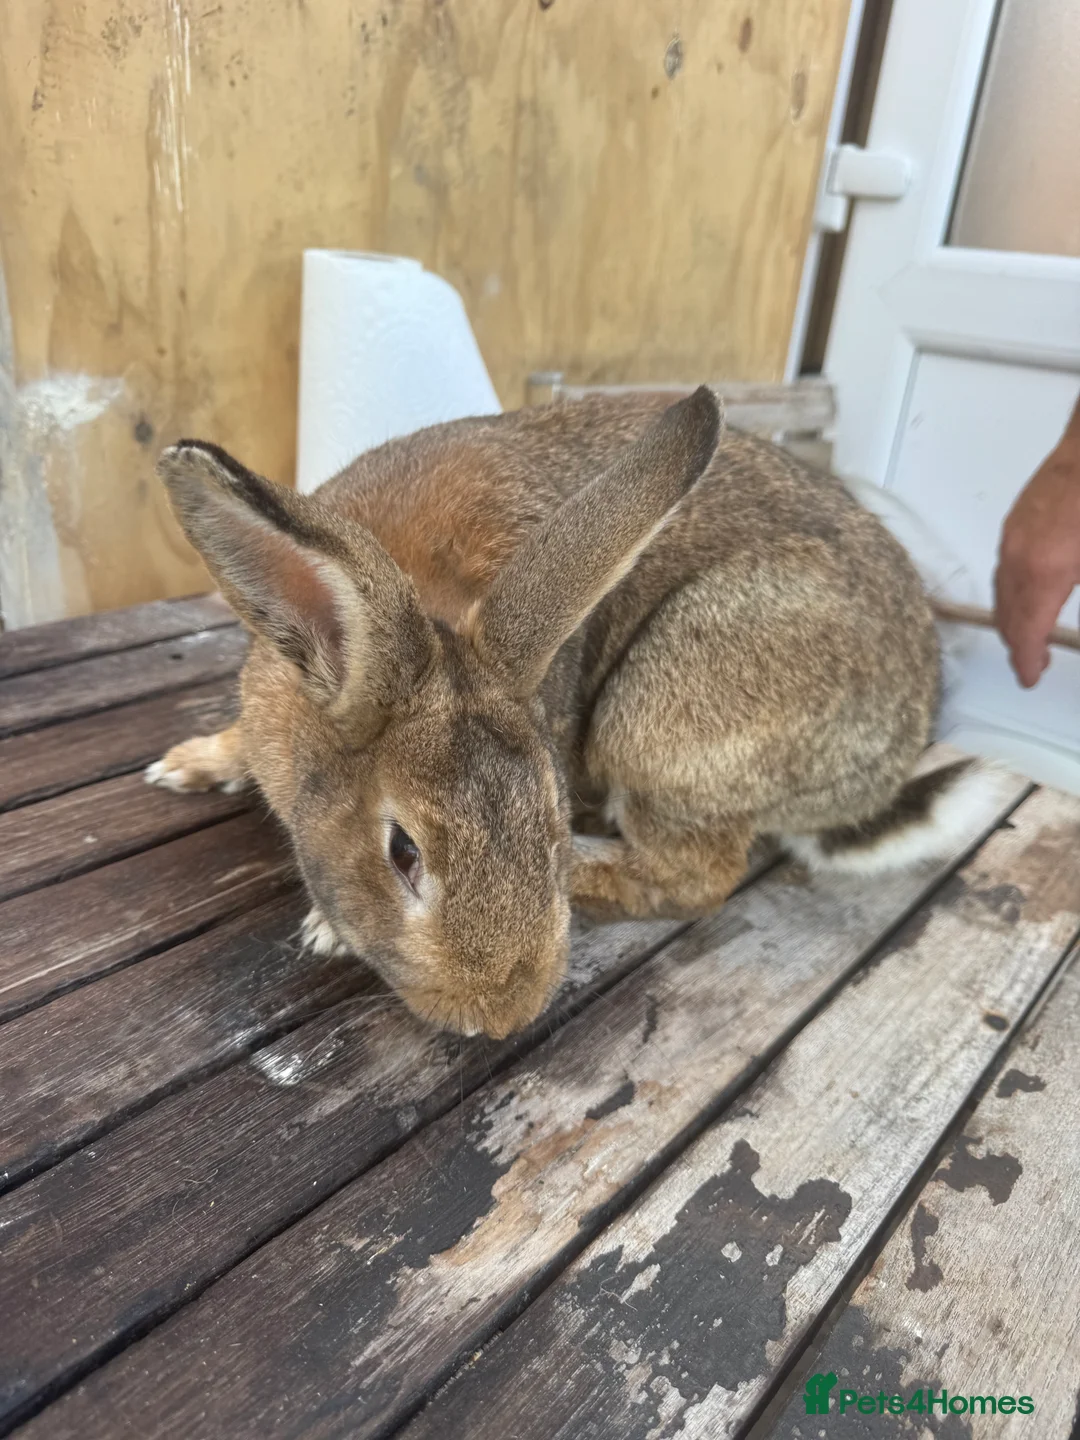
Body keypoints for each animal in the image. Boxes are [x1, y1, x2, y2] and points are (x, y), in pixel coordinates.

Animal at [147, 386, 987, 1039]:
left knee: (697, 878)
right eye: (402, 853)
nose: (502, 1016)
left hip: (656, 718)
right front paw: (185, 765)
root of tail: (892, 755)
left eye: (548, 820)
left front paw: (327, 929)